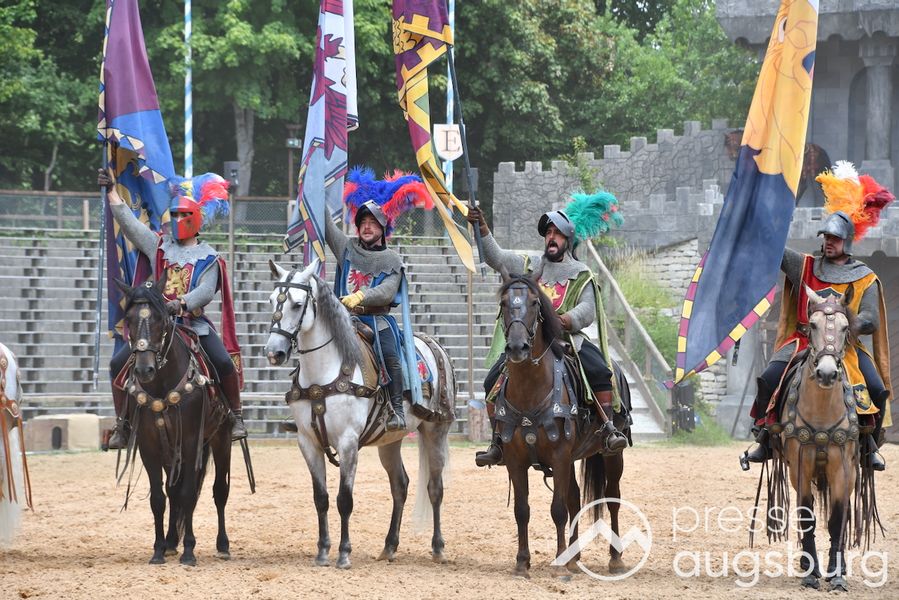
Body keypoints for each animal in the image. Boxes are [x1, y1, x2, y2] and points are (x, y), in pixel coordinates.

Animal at [114, 277, 232, 566]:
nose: (144, 369)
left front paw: (189, 551)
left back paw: (222, 545)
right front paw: (159, 549)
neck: (161, 383)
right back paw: (169, 542)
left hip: (221, 438)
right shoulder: (148, 445)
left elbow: (189, 493)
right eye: (129, 319)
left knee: (219, 491)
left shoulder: (190, 442)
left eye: (161, 319)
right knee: (173, 490)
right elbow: (160, 497)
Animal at [263, 259, 455, 569]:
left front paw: (343, 554)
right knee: (400, 486)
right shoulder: (307, 442)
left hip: (435, 431)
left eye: (297, 303)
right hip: (390, 441)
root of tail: (433, 344)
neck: (323, 372)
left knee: (435, 488)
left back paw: (437, 548)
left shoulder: (348, 442)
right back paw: (389, 547)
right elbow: (321, 498)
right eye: (271, 300)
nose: (274, 352)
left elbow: (344, 500)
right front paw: (322, 551)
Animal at [495, 269, 628, 578]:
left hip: (612, 453)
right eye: (504, 303)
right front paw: (522, 563)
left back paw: (614, 558)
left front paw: (558, 566)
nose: (517, 347)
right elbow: (522, 509)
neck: (531, 390)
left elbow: (557, 510)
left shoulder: (560, 455)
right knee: (575, 499)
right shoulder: (516, 460)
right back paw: (574, 558)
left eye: (534, 303)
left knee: (612, 497)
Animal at [767, 287, 881, 591]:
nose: (827, 373)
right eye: (813, 325)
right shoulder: (801, 466)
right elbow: (807, 514)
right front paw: (810, 573)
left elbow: (837, 518)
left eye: (844, 328)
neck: (821, 409)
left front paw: (837, 574)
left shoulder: (842, 467)